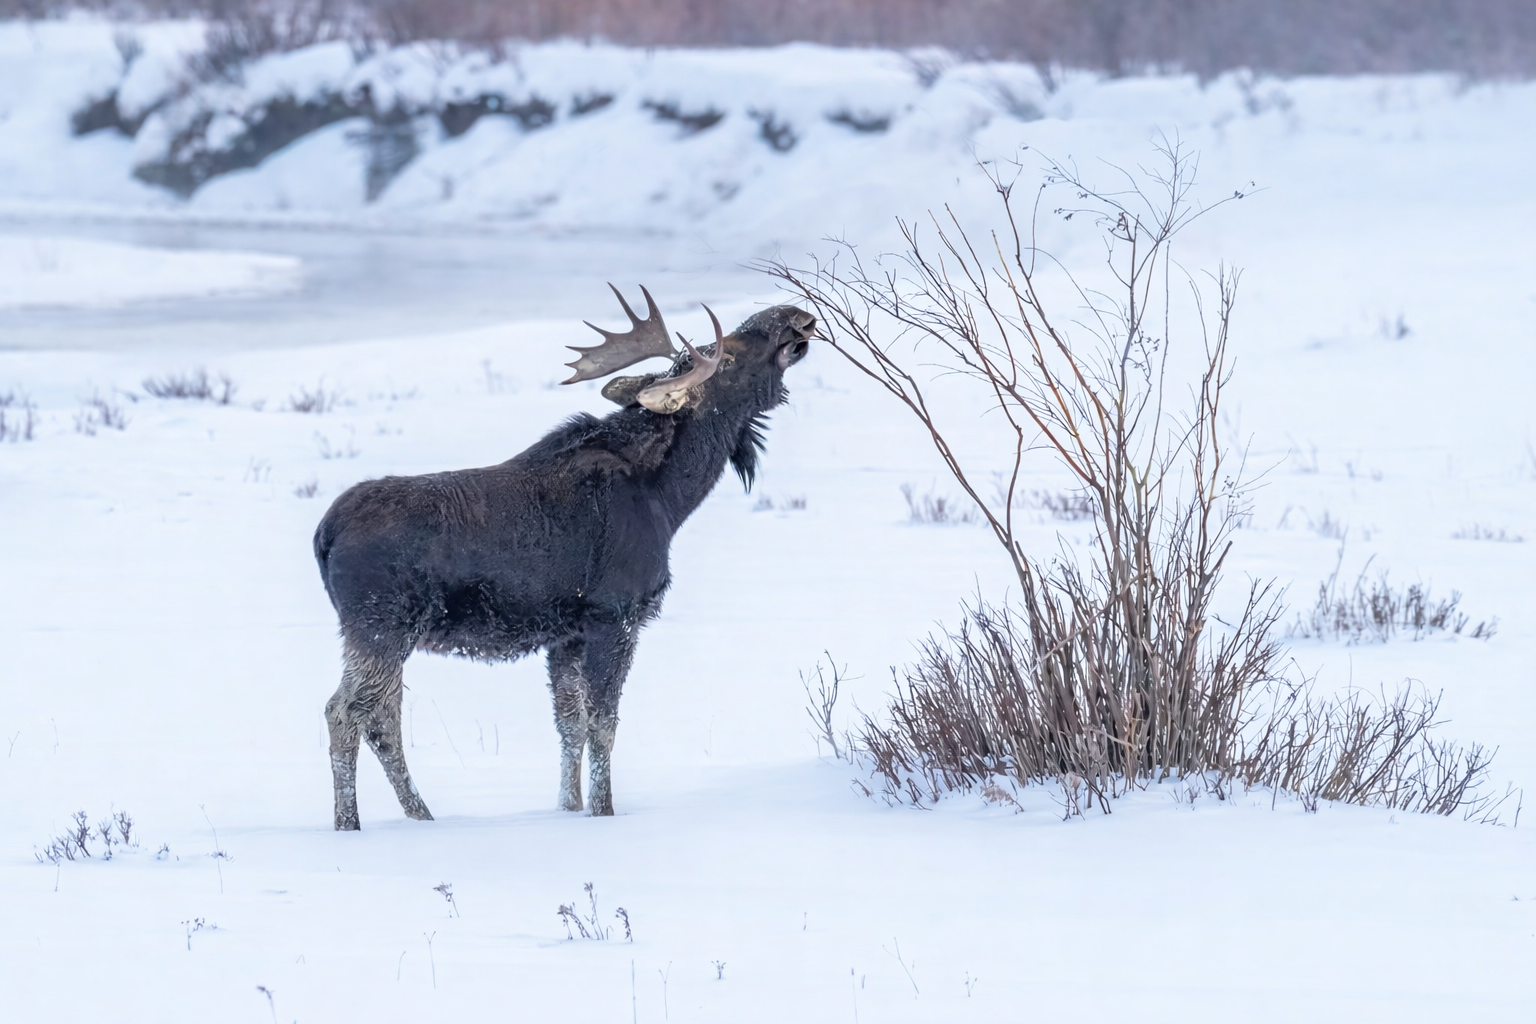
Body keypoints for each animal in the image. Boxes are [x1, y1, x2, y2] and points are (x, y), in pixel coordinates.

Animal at [313, 287, 814, 828]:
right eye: (727, 355)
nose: (793, 315)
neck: (671, 494)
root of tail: (323, 534)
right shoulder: (614, 615)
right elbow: (603, 724)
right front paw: (603, 810)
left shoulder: (566, 633)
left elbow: (569, 724)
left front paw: (568, 808)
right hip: (381, 625)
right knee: (346, 712)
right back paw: (350, 824)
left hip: (381, 633)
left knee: (380, 716)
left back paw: (420, 816)